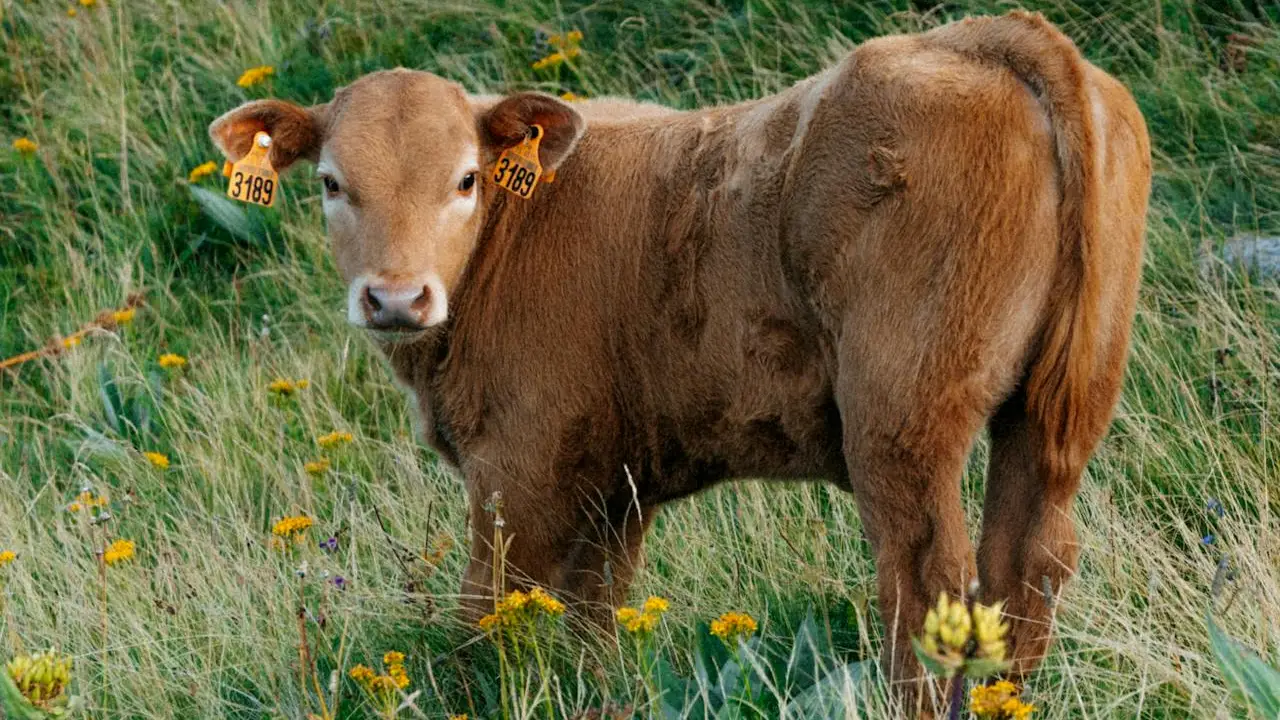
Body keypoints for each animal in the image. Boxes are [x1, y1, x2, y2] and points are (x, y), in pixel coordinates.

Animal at [210, 10, 1150, 701]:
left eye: (466, 178)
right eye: (331, 183)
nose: (398, 299)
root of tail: (983, 38)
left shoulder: (519, 468)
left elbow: (489, 616)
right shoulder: (613, 487)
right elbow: (592, 621)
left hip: (901, 416)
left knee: (929, 582)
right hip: (1059, 409)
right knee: (1030, 558)